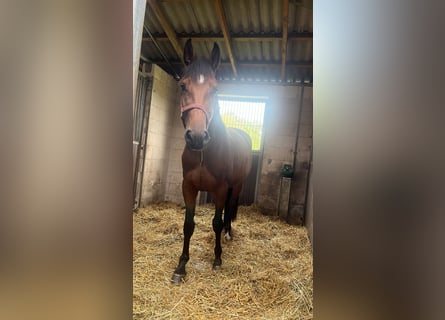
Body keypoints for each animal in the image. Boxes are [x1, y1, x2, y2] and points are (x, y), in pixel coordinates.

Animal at [172, 38, 251, 284]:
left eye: (215, 89)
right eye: (182, 86)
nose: (197, 137)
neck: (204, 154)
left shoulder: (220, 188)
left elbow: (216, 222)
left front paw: (217, 259)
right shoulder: (188, 187)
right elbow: (188, 225)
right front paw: (181, 266)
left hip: (237, 186)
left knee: (229, 209)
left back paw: (228, 234)